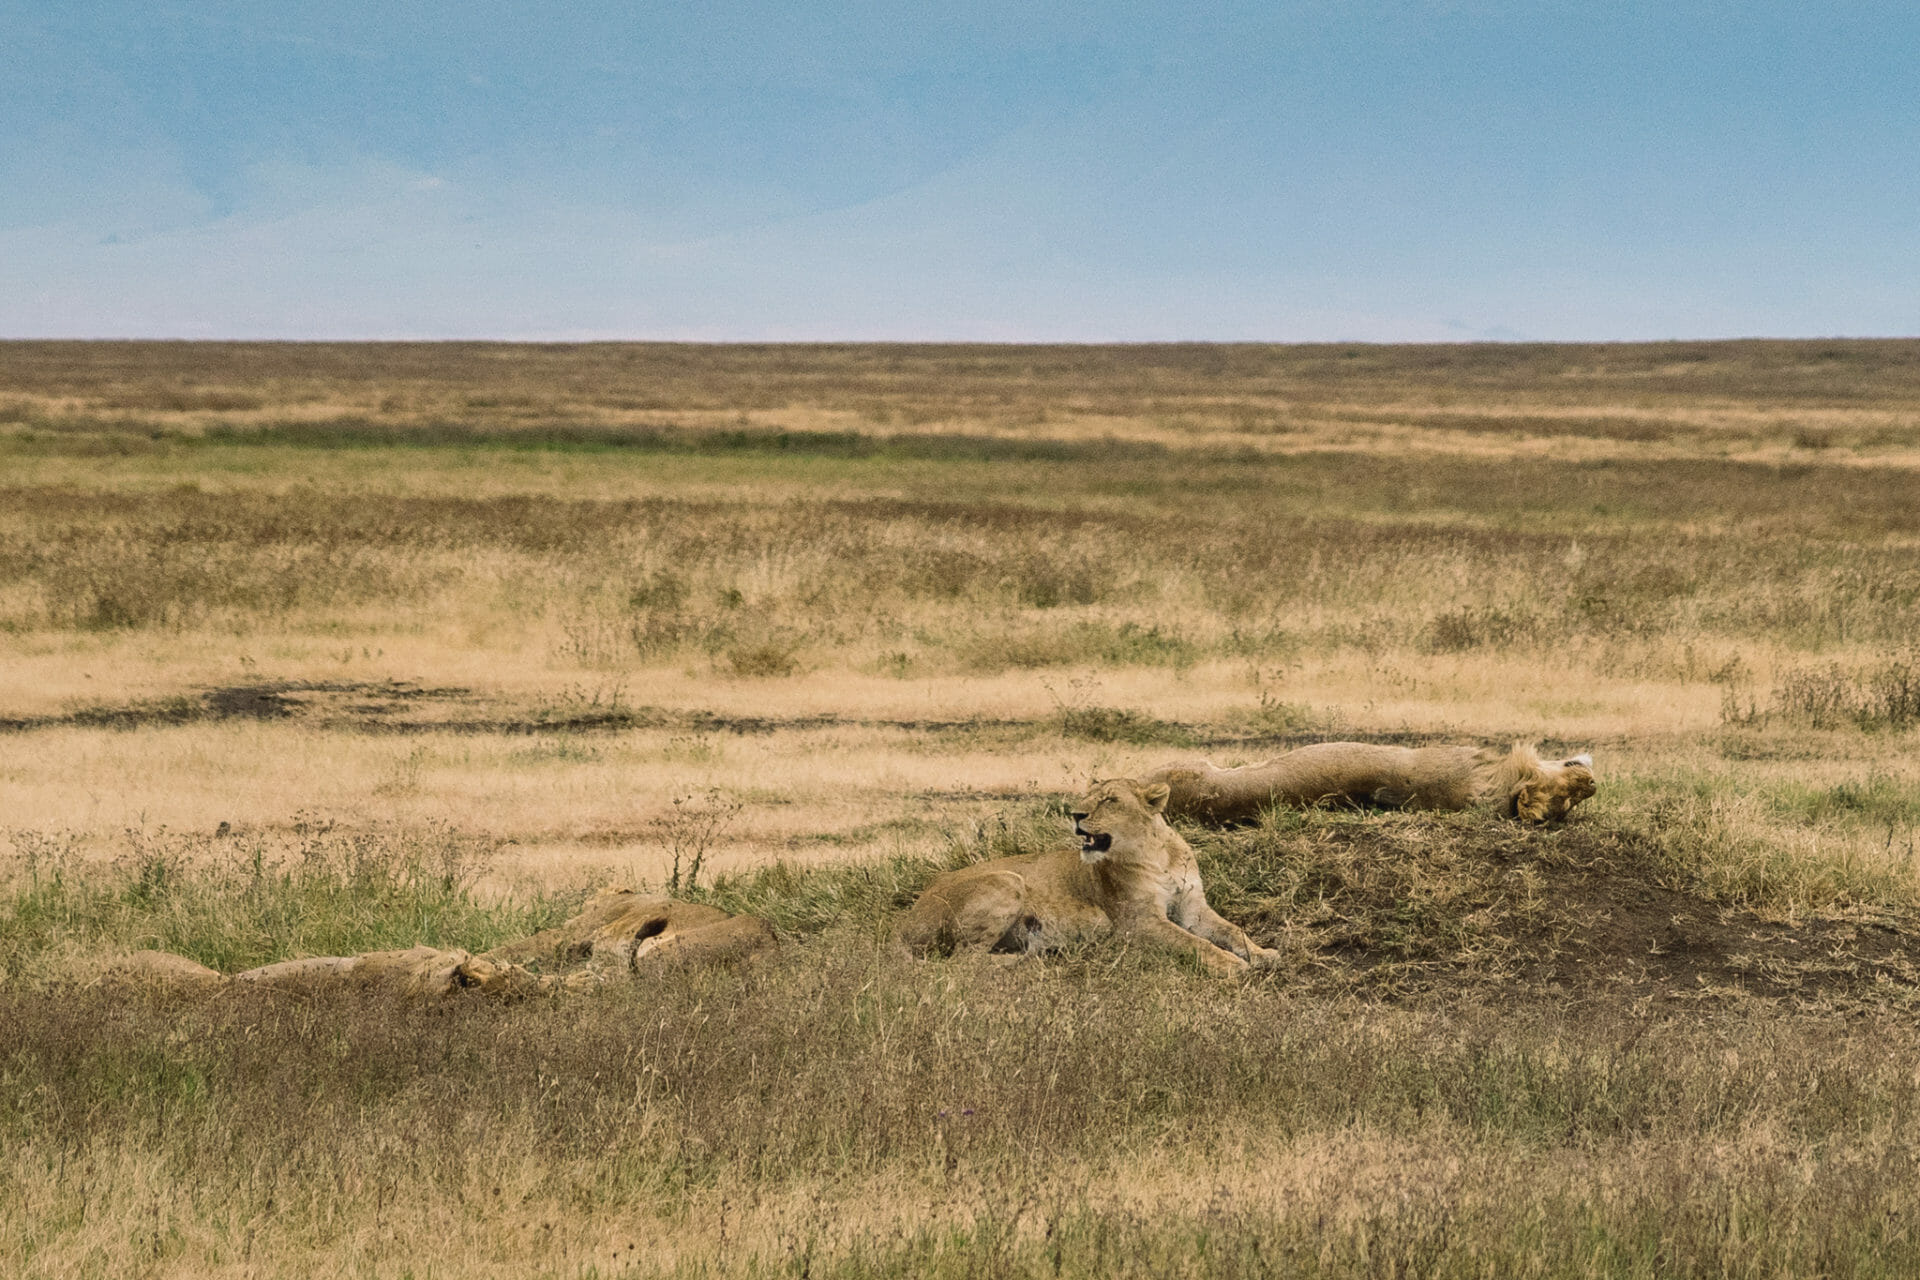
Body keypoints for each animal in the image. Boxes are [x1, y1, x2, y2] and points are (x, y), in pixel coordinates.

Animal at [896, 779, 1280, 976]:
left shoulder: (1192, 908)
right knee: (962, 961)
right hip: (1006, 880)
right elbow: (1194, 942)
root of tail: (906, 922)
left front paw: (1262, 953)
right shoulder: (1137, 923)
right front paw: (1232, 965)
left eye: (1109, 800)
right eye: (1085, 798)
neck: (1156, 854)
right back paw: (1026, 958)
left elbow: (1231, 930)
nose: (1075, 814)